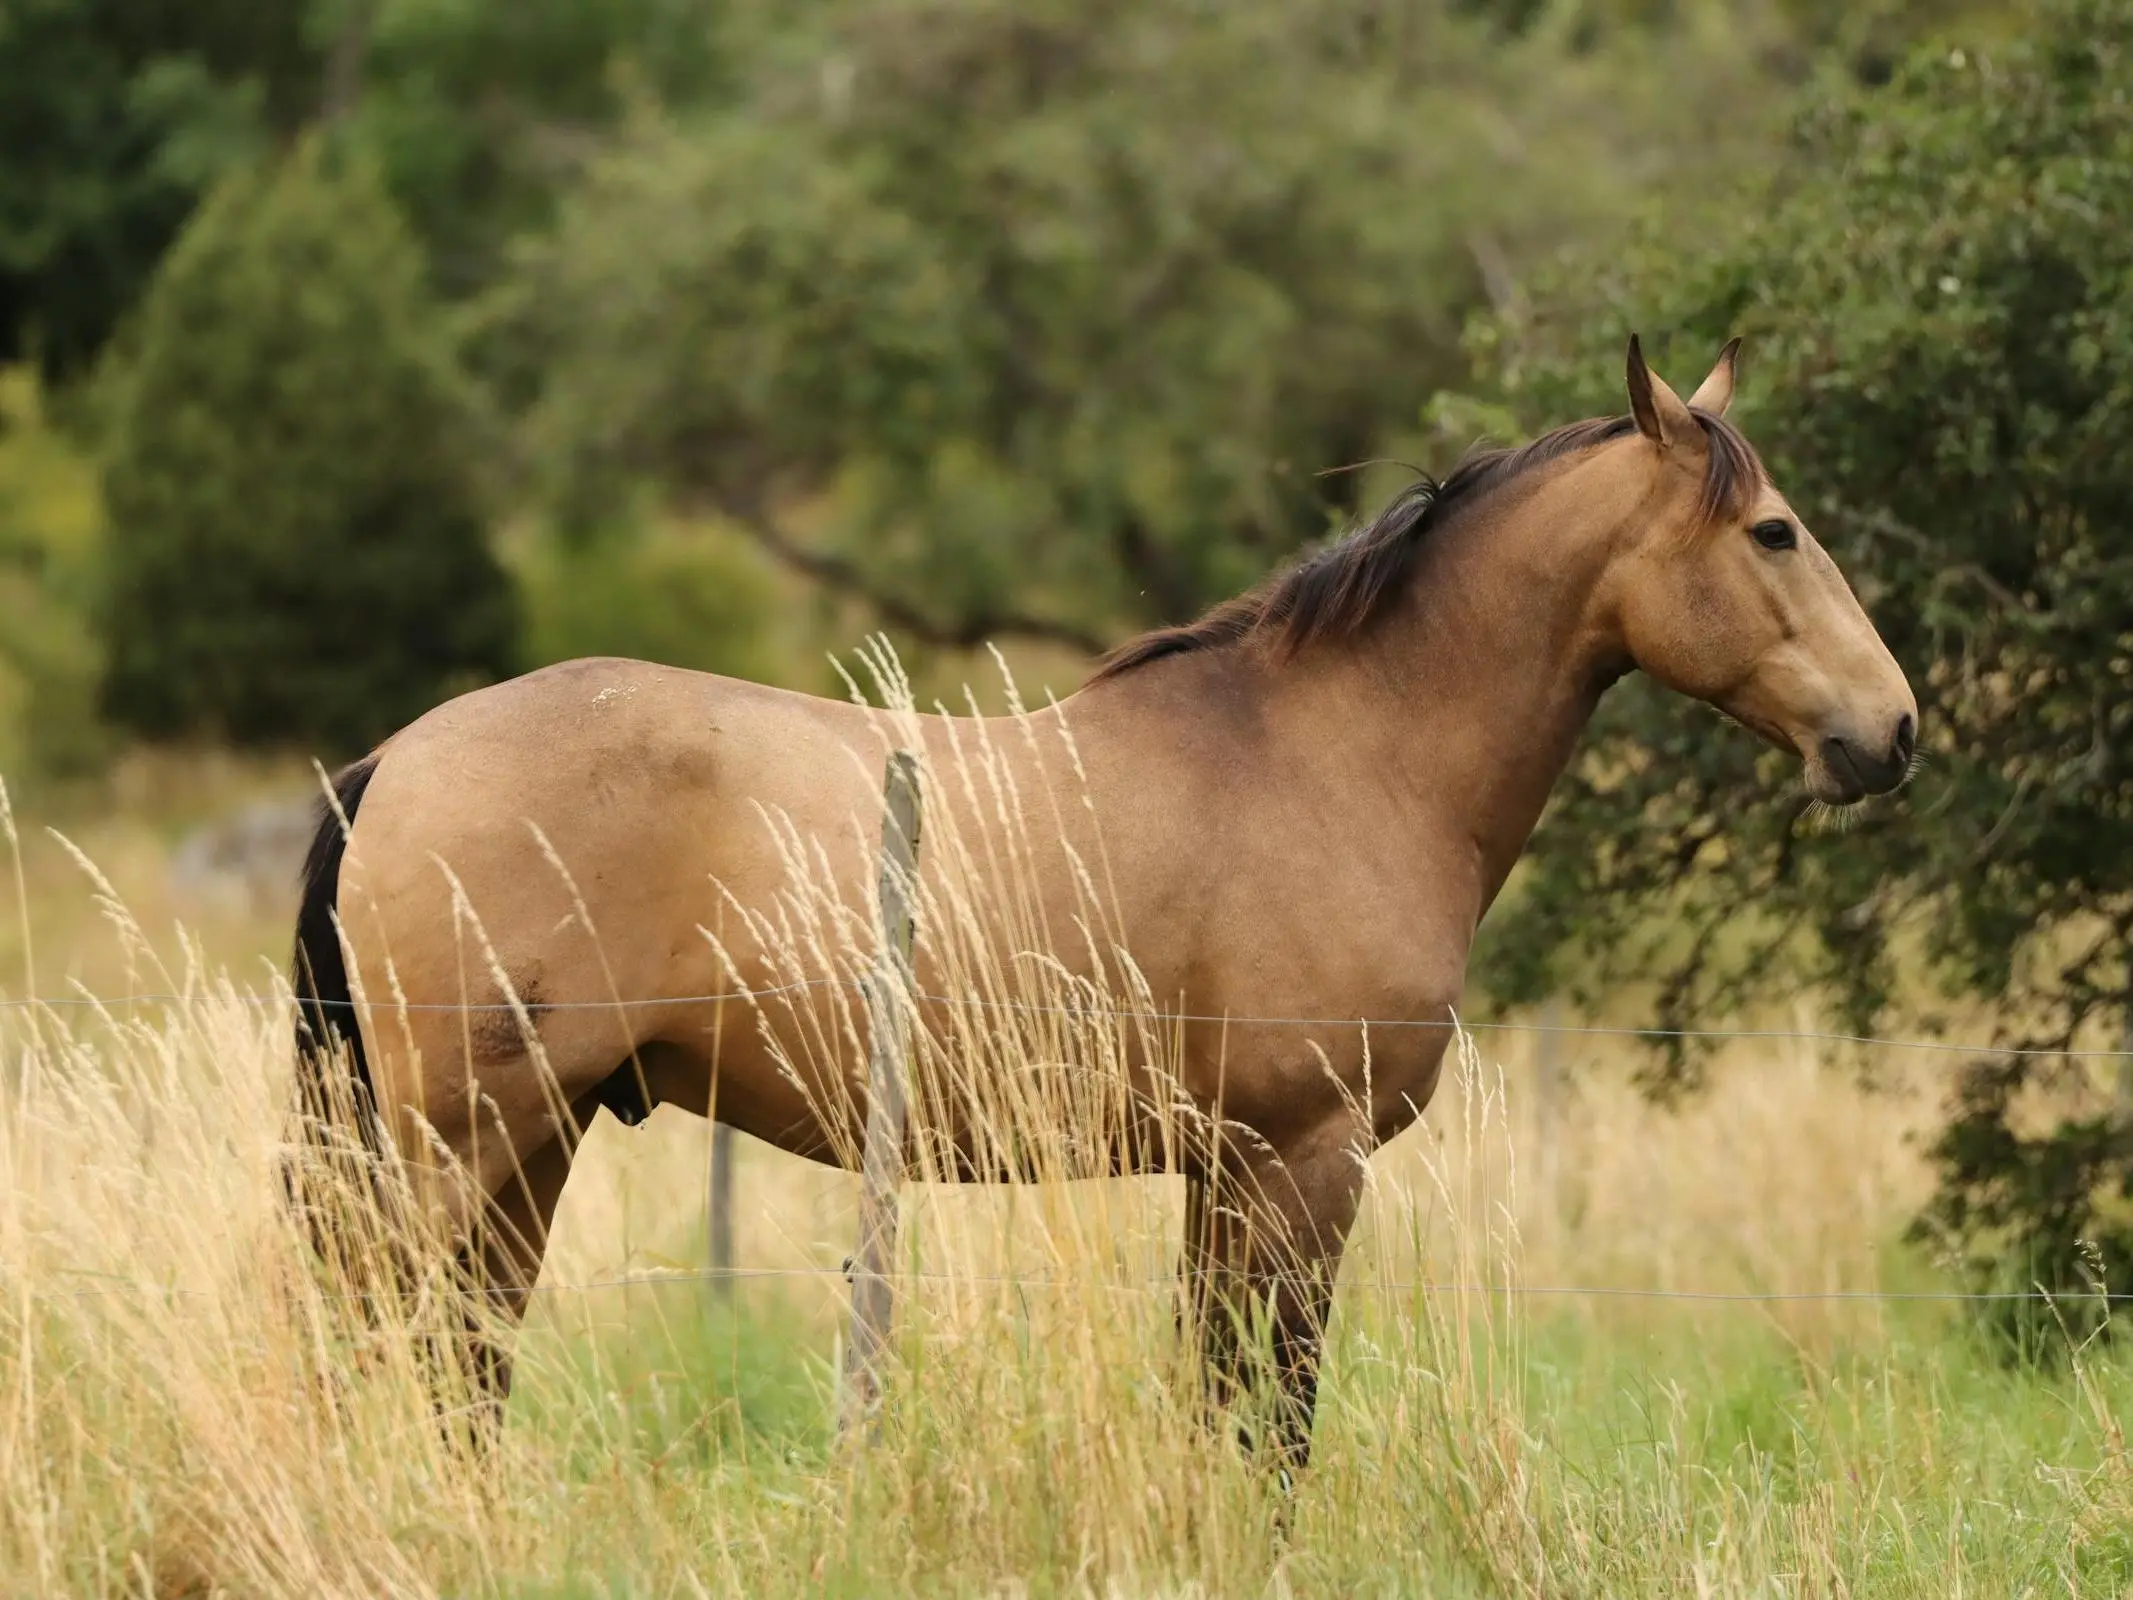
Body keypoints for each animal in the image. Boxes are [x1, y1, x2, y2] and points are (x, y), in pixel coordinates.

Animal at [287, 334, 1919, 1467]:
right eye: (1774, 531)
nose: (1890, 731)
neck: (1336, 754)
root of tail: (389, 761)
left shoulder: (1224, 1174)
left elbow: (1217, 1402)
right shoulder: (1303, 1164)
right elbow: (1271, 1420)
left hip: (535, 1143)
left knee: (458, 1365)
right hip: (458, 1147)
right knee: (384, 1339)